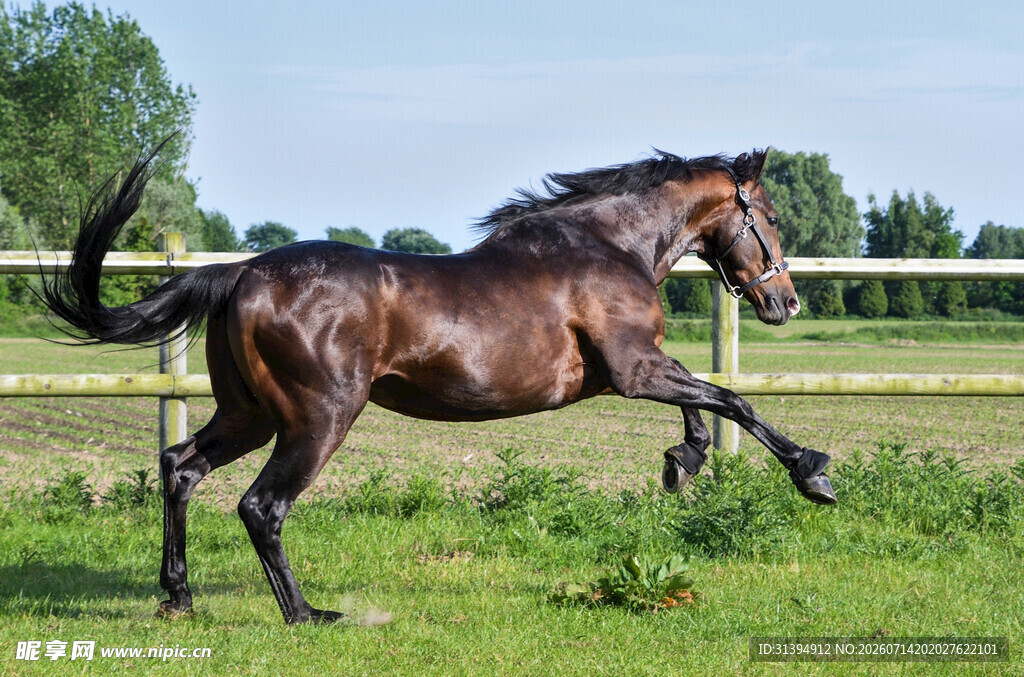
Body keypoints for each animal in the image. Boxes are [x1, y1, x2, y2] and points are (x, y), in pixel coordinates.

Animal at [39, 143, 835, 625]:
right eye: (768, 216)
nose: (786, 301)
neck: (609, 247)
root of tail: (240, 273)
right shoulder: (636, 369)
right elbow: (733, 399)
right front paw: (814, 474)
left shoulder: (637, 373)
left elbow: (708, 407)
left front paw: (683, 462)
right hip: (318, 419)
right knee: (261, 506)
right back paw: (306, 614)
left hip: (250, 414)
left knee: (181, 467)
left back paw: (178, 597)